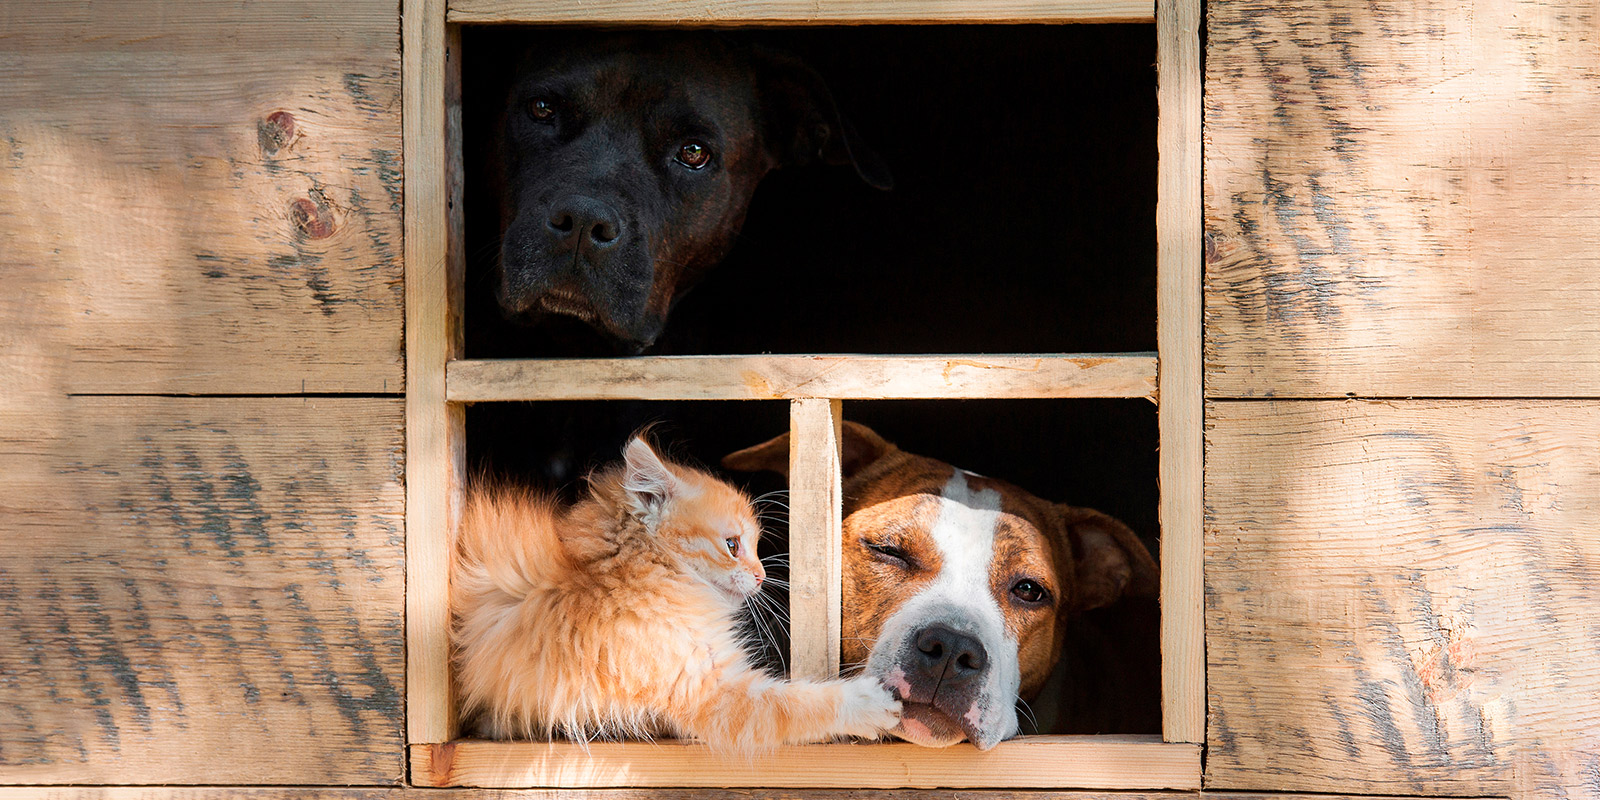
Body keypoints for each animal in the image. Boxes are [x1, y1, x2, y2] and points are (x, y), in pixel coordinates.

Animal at [454, 438, 902, 748]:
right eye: (733, 545)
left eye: (756, 547)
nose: (760, 577)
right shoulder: (708, 693)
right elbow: (795, 704)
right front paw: (869, 703)